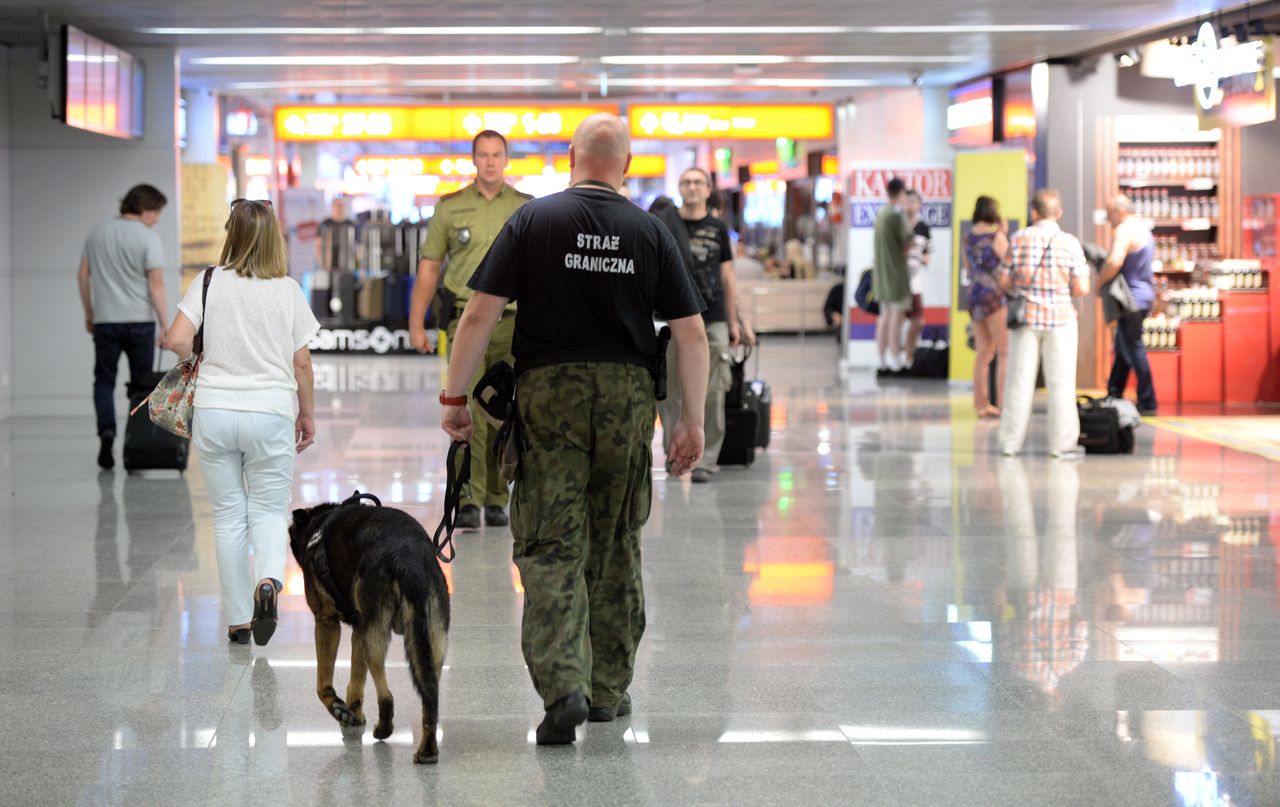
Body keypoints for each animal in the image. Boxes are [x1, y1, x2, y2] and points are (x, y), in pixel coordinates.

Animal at [293, 499, 453, 763]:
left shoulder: (326, 622)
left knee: (386, 694)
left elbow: (323, 682)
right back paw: (427, 750)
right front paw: (353, 714)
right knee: (430, 695)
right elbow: (356, 682)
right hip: (432, 640)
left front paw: (337, 708)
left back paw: (384, 728)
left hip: (374, 635)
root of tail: (407, 555)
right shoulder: (358, 629)